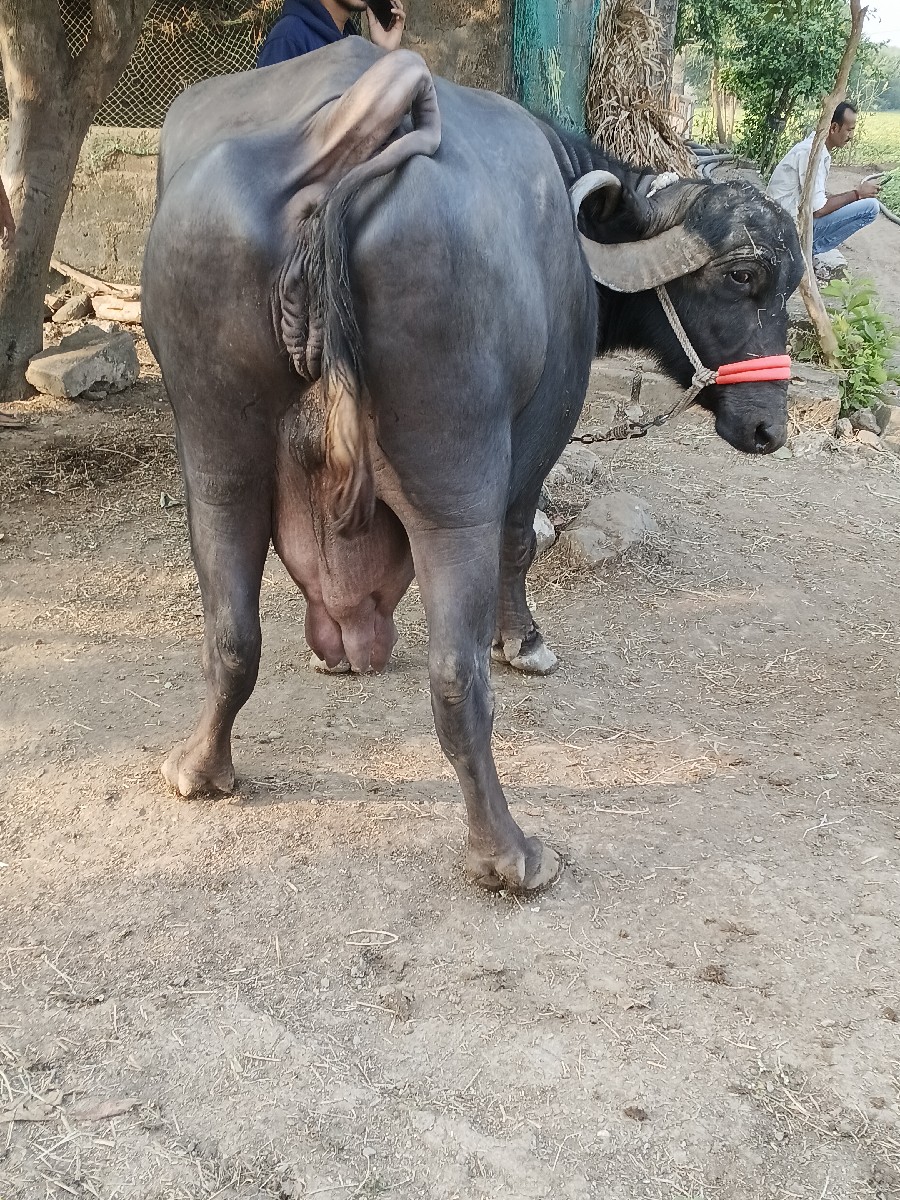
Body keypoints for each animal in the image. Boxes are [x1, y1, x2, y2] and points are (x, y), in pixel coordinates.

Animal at [142, 40, 803, 893]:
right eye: (743, 277)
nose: (768, 428)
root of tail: (339, 136)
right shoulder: (545, 426)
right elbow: (520, 543)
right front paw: (523, 642)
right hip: (454, 480)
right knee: (455, 677)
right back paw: (510, 851)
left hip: (216, 451)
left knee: (231, 631)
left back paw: (200, 766)